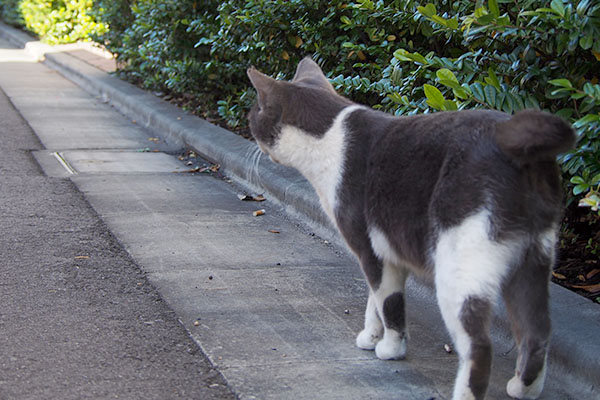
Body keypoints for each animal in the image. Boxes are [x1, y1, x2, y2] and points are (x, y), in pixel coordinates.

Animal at [246, 57, 576, 400]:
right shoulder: (386, 254)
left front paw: (390, 349)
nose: (246, 118)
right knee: (537, 333)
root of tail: (513, 140)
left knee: (480, 347)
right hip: (533, 261)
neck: (329, 140)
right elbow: (375, 300)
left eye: (255, 111)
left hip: (460, 266)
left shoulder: (369, 247)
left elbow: (390, 304)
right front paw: (370, 336)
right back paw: (523, 388)